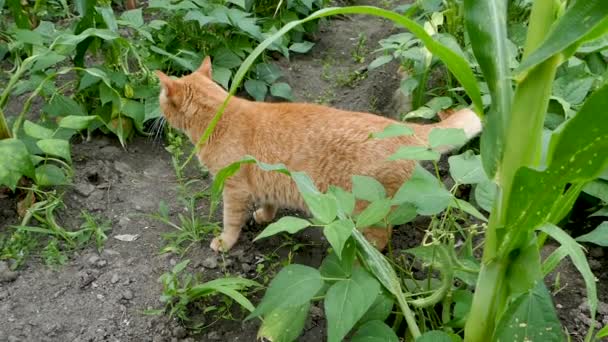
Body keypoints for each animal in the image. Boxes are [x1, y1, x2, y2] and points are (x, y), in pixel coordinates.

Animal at [157, 57, 484, 252]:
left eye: (160, 98)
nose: (158, 114)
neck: (219, 116)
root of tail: (398, 125)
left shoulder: (233, 189)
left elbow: (231, 221)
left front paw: (224, 242)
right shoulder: (265, 176)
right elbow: (268, 201)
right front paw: (264, 216)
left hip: (368, 208)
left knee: (382, 237)